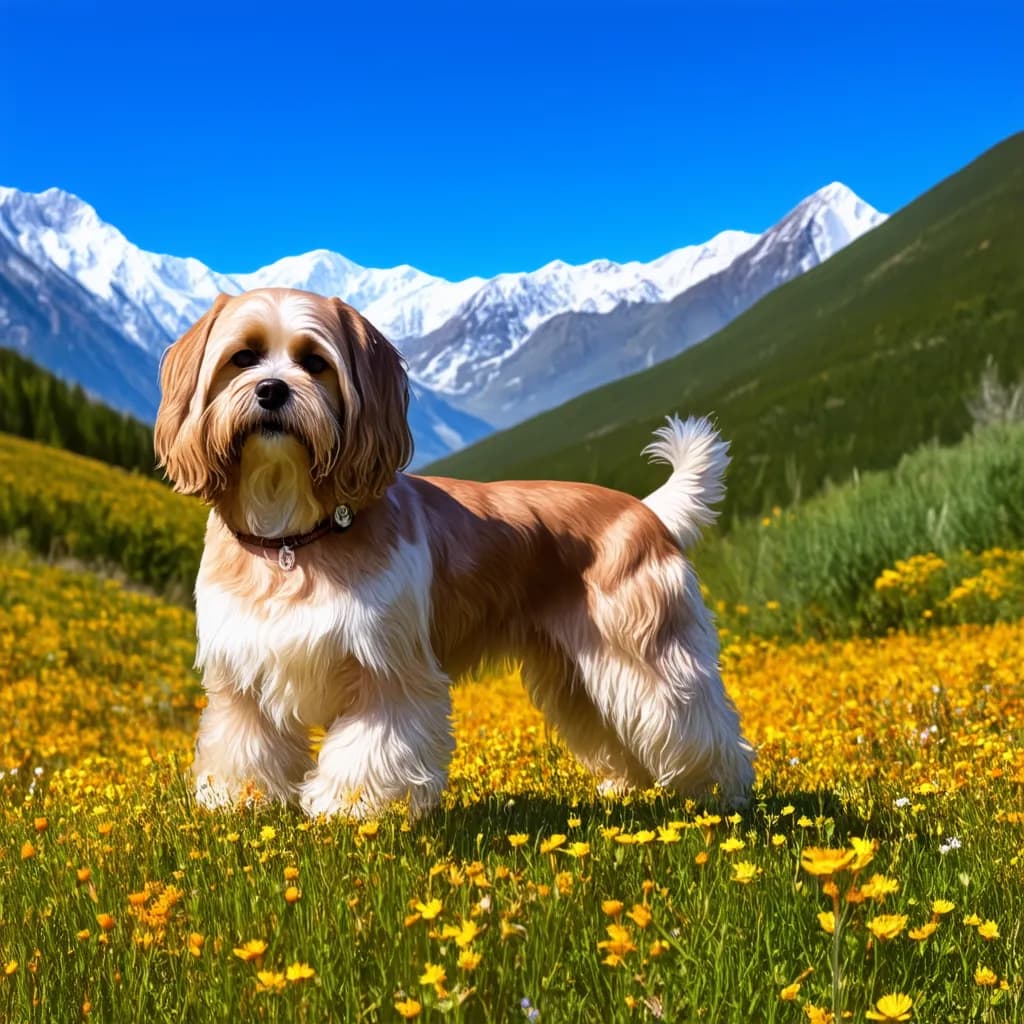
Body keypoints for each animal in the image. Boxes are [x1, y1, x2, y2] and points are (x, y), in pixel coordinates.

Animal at [155, 286, 757, 815]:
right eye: (244, 357)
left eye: (315, 362)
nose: (272, 390)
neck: (291, 536)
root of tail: (651, 512)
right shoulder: (242, 676)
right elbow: (244, 743)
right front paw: (238, 803)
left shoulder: (389, 669)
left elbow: (369, 746)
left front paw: (353, 809)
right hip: (581, 675)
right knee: (619, 732)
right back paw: (628, 793)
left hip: (647, 657)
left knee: (700, 725)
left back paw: (721, 800)